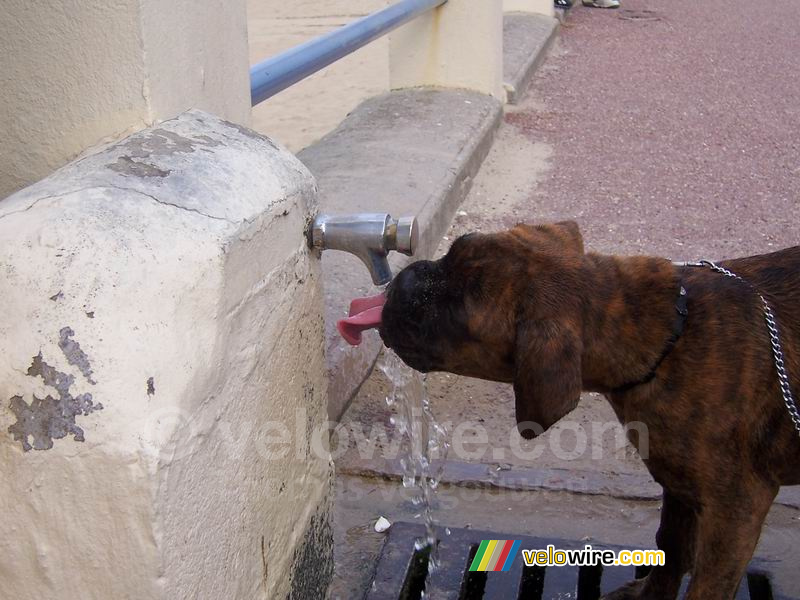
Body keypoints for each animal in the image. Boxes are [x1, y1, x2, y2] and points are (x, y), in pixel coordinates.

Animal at [376, 223, 800, 600]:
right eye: (454, 250)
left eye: (456, 316)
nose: (404, 281)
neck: (666, 336)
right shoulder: (678, 483)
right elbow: (671, 548)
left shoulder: (735, 509)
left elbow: (706, 585)